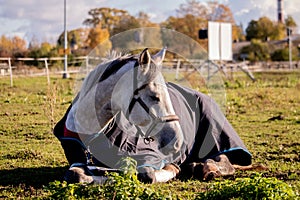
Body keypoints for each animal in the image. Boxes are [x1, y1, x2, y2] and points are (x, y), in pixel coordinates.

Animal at [53, 47, 253, 184]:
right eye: (154, 96)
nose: (178, 143)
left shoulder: (150, 157)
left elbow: (146, 174)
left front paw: (172, 168)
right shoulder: (77, 160)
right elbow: (74, 174)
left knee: (224, 160)